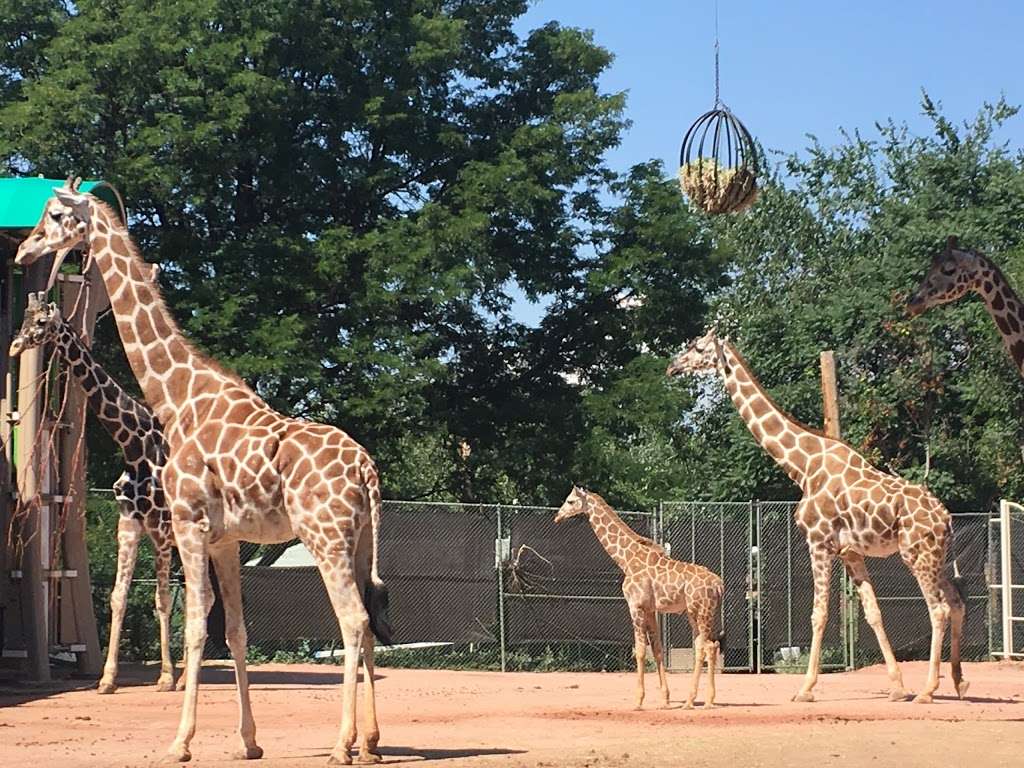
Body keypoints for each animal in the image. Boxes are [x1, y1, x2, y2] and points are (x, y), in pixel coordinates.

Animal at [19, 179, 395, 765]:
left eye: (55, 214)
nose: (23, 250)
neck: (176, 397)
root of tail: (366, 470)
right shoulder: (224, 538)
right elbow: (235, 630)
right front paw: (249, 741)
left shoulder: (189, 525)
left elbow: (195, 625)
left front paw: (179, 741)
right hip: (358, 542)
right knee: (370, 623)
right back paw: (372, 742)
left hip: (325, 537)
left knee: (353, 622)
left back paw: (342, 745)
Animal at [557, 489, 724, 712]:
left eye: (570, 501)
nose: (557, 516)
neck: (625, 560)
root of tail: (719, 585)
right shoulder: (650, 609)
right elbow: (658, 650)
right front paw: (665, 699)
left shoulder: (635, 606)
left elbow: (640, 651)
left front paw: (638, 701)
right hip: (697, 612)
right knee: (708, 646)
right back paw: (703, 700)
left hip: (702, 610)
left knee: (705, 647)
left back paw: (695, 701)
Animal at [663, 333, 966, 708]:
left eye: (699, 348)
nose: (672, 366)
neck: (802, 466)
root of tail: (946, 518)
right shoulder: (851, 552)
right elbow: (873, 612)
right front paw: (896, 687)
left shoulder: (819, 541)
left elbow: (818, 614)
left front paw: (805, 688)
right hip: (937, 556)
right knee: (956, 602)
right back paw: (958, 682)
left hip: (917, 554)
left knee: (938, 609)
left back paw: (927, 690)